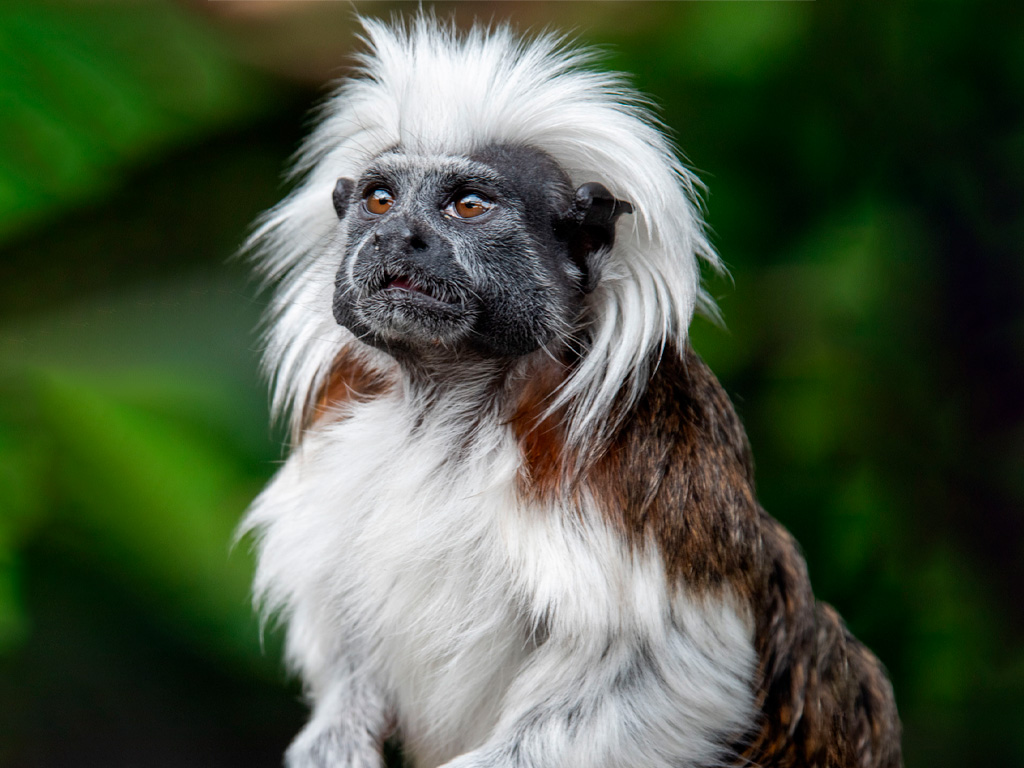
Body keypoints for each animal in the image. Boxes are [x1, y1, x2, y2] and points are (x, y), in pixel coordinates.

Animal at [240, 16, 902, 768]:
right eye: (380, 200)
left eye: (467, 206)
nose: (396, 237)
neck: (450, 408)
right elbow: (347, 637)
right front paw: (337, 739)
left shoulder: (640, 470)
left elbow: (671, 670)